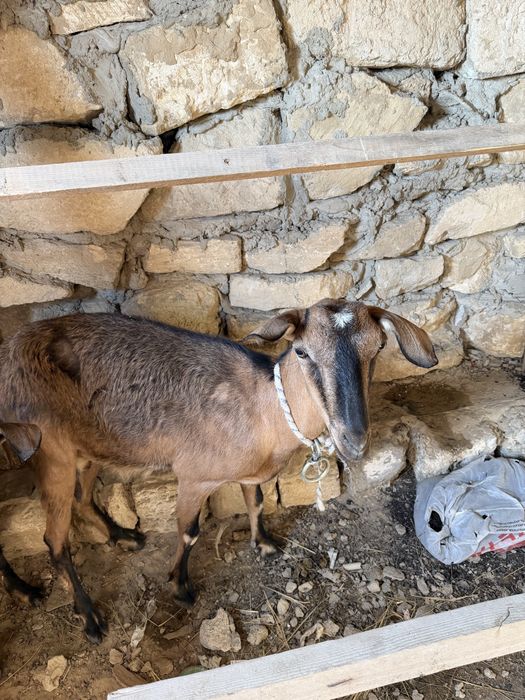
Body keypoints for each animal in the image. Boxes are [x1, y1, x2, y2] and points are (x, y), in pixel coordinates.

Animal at [0, 298, 437, 642]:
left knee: (82, 497)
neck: (263, 410)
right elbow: (189, 531)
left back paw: (120, 537)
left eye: (379, 347)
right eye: (301, 352)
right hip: (50, 451)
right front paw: (180, 586)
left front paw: (264, 543)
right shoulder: (194, 476)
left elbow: (256, 500)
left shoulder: (248, 474)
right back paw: (88, 617)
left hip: (90, 447)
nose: (354, 439)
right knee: (55, 541)